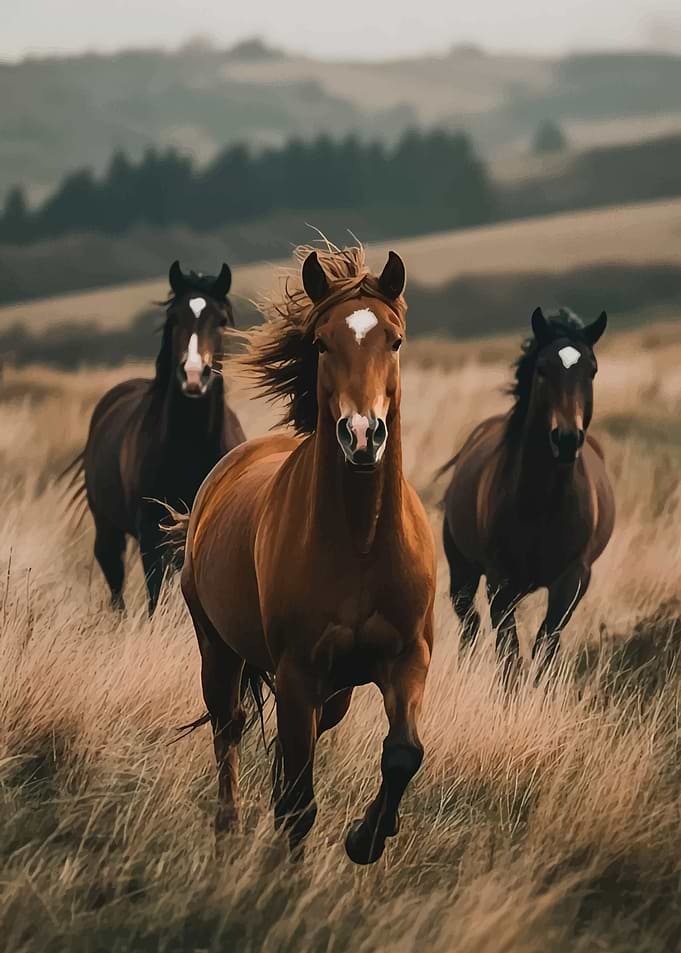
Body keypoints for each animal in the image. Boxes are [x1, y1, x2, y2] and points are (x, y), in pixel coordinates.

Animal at [64, 260, 245, 615]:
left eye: (220, 321)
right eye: (174, 318)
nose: (193, 376)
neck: (189, 449)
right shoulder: (150, 531)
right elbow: (154, 593)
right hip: (109, 529)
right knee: (115, 578)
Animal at [178, 243, 436, 865]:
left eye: (395, 340)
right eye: (321, 342)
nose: (362, 435)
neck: (361, 543)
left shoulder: (408, 658)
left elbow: (403, 753)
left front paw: (368, 838)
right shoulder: (297, 671)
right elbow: (298, 802)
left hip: (335, 691)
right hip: (218, 649)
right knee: (229, 727)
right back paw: (229, 832)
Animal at [440, 307, 615, 683]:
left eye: (592, 370)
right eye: (542, 369)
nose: (566, 439)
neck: (543, 502)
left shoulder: (571, 581)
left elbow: (545, 646)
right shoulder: (500, 583)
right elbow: (509, 654)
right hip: (463, 572)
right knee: (469, 625)